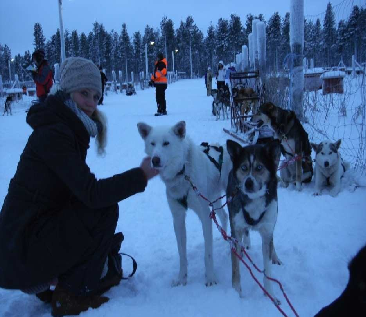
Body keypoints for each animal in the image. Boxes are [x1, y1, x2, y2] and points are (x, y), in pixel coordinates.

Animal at [138, 119, 232, 286]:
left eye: (166, 143)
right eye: (152, 143)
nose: (155, 160)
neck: (183, 173)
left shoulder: (204, 216)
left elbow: (208, 253)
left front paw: (210, 277)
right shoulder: (178, 218)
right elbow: (182, 253)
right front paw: (182, 277)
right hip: (213, 199)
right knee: (224, 216)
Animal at [226, 140, 284, 302]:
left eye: (259, 167)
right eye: (244, 167)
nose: (248, 183)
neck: (254, 202)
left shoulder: (267, 231)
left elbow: (268, 268)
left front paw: (270, 294)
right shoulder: (236, 229)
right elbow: (235, 267)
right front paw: (236, 292)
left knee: (272, 241)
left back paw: (275, 256)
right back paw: (244, 245)